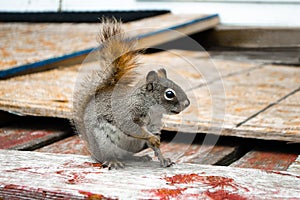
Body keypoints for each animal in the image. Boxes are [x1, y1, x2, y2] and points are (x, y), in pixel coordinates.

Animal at [72, 18, 190, 170]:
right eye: (169, 94)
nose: (187, 103)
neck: (149, 104)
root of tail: (92, 149)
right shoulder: (126, 112)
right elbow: (132, 127)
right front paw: (153, 138)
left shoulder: (153, 125)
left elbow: (154, 144)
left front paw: (163, 159)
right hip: (103, 142)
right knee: (106, 157)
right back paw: (113, 161)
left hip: (134, 145)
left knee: (127, 156)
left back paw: (139, 157)